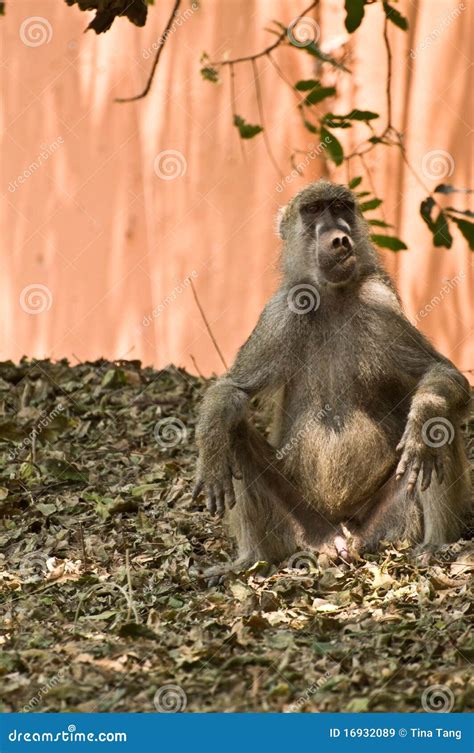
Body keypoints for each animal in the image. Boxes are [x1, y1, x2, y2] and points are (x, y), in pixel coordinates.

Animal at [193, 179, 471, 579]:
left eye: (340, 207)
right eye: (313, 210)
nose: (339, 239)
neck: (331, 297)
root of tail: (341, 533)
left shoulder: (379, 303)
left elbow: (441, 375)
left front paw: (420, 422)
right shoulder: (279, 313)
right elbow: (234, 389)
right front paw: (212, 450)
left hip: (388, 525)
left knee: (439, 425)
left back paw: (434, 543)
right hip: (302, 527)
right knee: (235, 427)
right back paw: (250, 559)